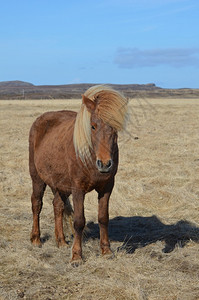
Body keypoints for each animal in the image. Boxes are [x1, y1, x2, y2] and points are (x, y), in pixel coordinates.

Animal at [29, 85, 129, 262]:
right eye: (93, 126)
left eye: (115, 127)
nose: (104, 164)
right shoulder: (78, 189)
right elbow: (79, 221)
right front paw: (76, 256)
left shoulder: (106, 188)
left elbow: (103, 218)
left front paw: (106, 251)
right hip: (37, 178)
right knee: (37, 204)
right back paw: (36, 239)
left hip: (60, 184)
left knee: (58, 206)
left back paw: (61, 241)